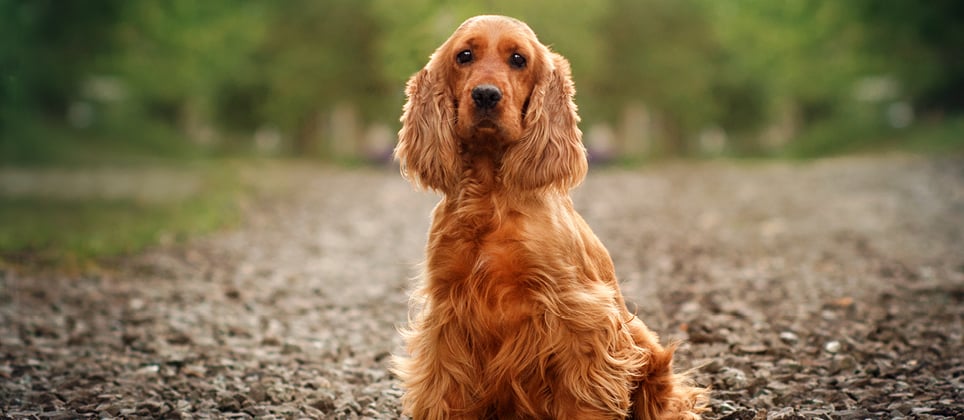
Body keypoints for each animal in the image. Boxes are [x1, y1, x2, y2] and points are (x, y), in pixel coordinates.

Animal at [392, 13, 708, 420]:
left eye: (518, 59)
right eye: (464, 56)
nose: (486, 95)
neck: (490, 196)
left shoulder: (578, 314)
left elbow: (583, 398)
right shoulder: (447, 314)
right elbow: (443, 391)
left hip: (644, 345)